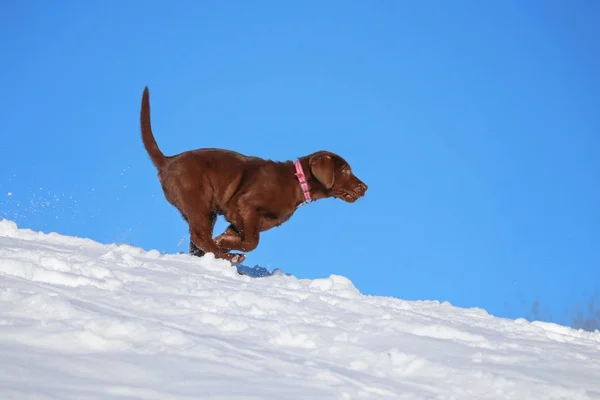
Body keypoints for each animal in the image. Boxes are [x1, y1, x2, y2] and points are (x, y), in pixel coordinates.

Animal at [139, 86, 368, 264]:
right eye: (346, 170)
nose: (365, 187)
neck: (296, 183)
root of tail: (167, 161)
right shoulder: (246, 205)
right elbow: (251, 242)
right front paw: (228, 246)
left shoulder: (244, 221)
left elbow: (239, 236)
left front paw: (225, 241)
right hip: (198, 200)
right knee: (200, 235)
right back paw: (231, 257)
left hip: (207, 209)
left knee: (199, 242)